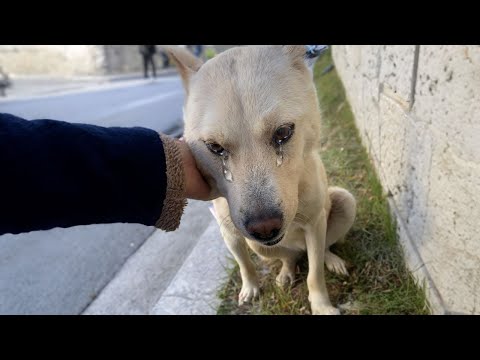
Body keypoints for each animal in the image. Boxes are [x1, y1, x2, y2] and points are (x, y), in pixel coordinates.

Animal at [169, 45, 356, 316]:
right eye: (214, 147)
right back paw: (286, 273)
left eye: (283, 132)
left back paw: (331, 260)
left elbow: (315, 274)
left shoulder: (315, 223)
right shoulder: (230, 232)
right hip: (259, 245)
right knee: (288, 257)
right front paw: (250, 287)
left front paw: (322, 305)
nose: (264, 227)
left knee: (322, 250)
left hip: (345, 201)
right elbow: (244, 264)